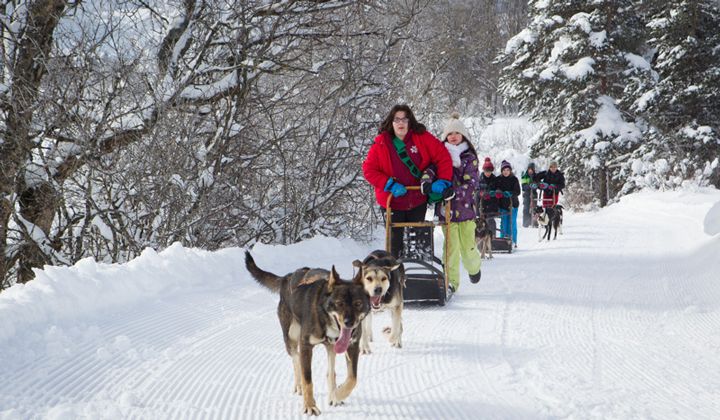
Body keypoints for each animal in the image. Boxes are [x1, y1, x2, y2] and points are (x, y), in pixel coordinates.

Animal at [248, 251, 372, 416]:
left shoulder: (352, 346)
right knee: (296, 360)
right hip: (291, 337)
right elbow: (307, 379)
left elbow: (353, 378)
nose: (349, 323)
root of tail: (287, 277)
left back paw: (333, 392)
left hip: (331, 347)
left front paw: (338, 394)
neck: (325, 317)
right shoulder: (306, 346)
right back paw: (299, 385)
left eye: (358, 303)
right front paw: (309, 405)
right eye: (339, 303)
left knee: (330, 372)